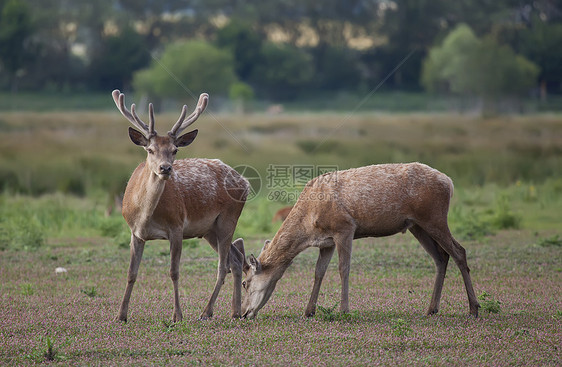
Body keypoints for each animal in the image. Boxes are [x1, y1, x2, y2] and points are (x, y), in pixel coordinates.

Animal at [111, 90, 247, 322]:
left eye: (174, 150)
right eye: (150, 149)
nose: (165, 168)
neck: (145, 216)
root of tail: (245, 181)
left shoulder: (176, 227)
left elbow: (174, 272)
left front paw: (177, 315)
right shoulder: (135, 233)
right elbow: (131, 273)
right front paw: (121, 315)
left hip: (228, 218)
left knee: (223, 266)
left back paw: (207, 311)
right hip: (209, 229)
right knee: (236, 259)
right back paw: (235, 312)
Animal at [240, 163, 476, 320]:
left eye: (244, 282)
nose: (242, 313)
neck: (309, 224)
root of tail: (449, 182)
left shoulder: (344, 228)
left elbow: (343, 268)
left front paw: (344, 311)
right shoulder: (326, 241)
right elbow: (319, 272)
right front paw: (309, 311)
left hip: (434, 217)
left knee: (459, 251)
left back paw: (474, 308)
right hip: (417, 225)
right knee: (441, 256)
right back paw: (431, 309)